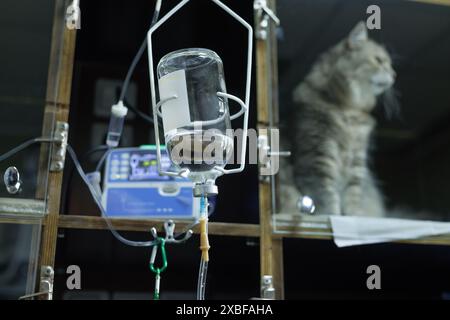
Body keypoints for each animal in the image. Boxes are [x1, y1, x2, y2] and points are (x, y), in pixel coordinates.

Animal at [284, 21, 394, 216]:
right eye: (379, 61)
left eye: (390, 64)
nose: (394, 74)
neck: (349, 109)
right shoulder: (318, 154)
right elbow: (327, 197)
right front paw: (334, 214)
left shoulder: (357, 158)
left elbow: (352, 195)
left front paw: (354, 215)